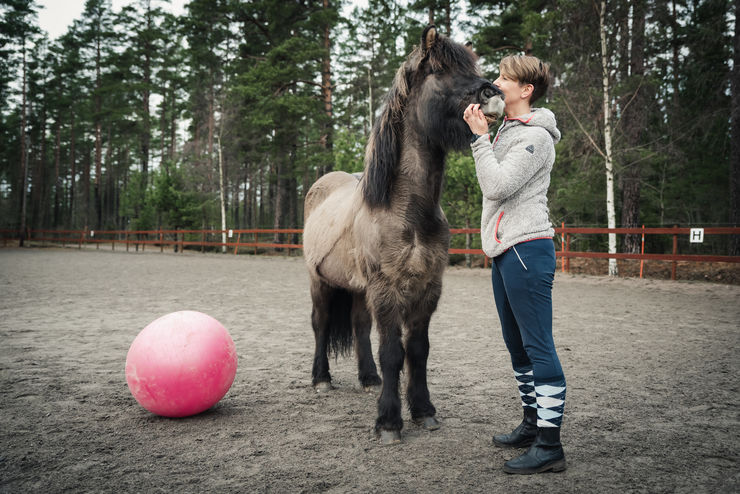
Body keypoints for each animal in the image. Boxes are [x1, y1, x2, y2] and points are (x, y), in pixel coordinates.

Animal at [300, 25, 502, 446]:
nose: (494, 94)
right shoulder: (387, 289)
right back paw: (321, 379)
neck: (405, 207)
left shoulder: (428, 288)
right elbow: (393, 351)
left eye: (472, 68)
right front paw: (389, 422)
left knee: (359, 325)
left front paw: (423, 411)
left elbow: (417, 350)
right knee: (321, 323)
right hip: (320, 281)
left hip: (358, 288)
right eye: (440, 71)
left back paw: (368, 379)